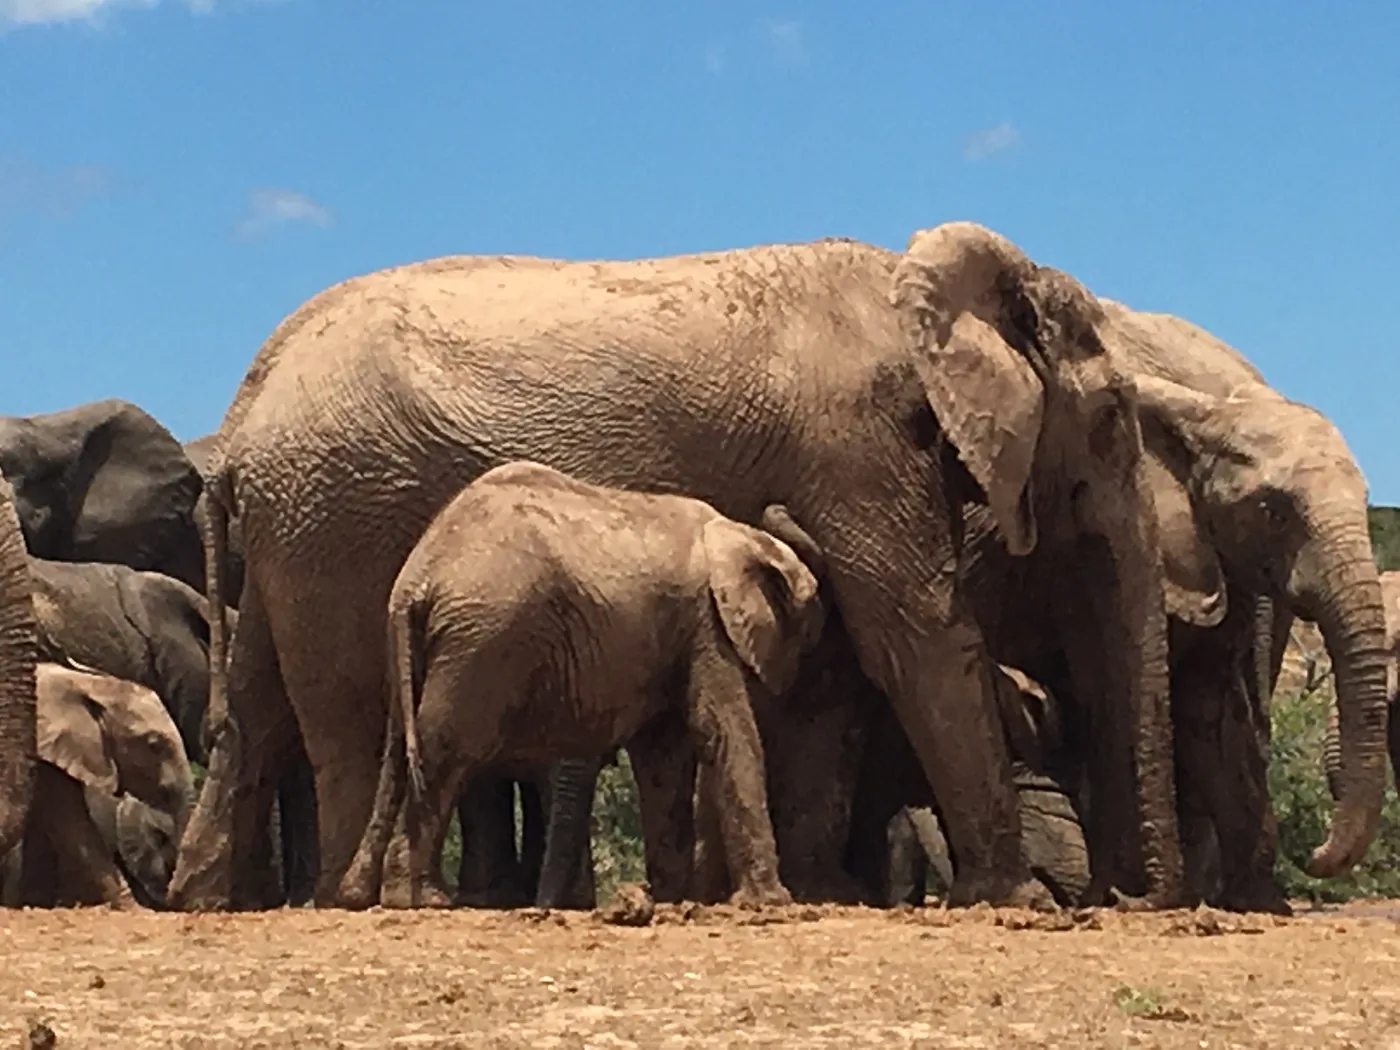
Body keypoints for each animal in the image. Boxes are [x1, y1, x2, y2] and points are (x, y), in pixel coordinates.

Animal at [338, 463, 824, 910]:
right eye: (806, 630)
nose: (781, 505)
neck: (741, 533)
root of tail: (418, 577)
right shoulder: (704, 619)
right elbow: (722, 731)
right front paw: (772, 905)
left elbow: (663, 757)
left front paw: (672, 900)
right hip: (484, 639)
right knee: (446, 748)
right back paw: (420, 899)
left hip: (417, 646)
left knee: (401, 749)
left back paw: (365, 894)